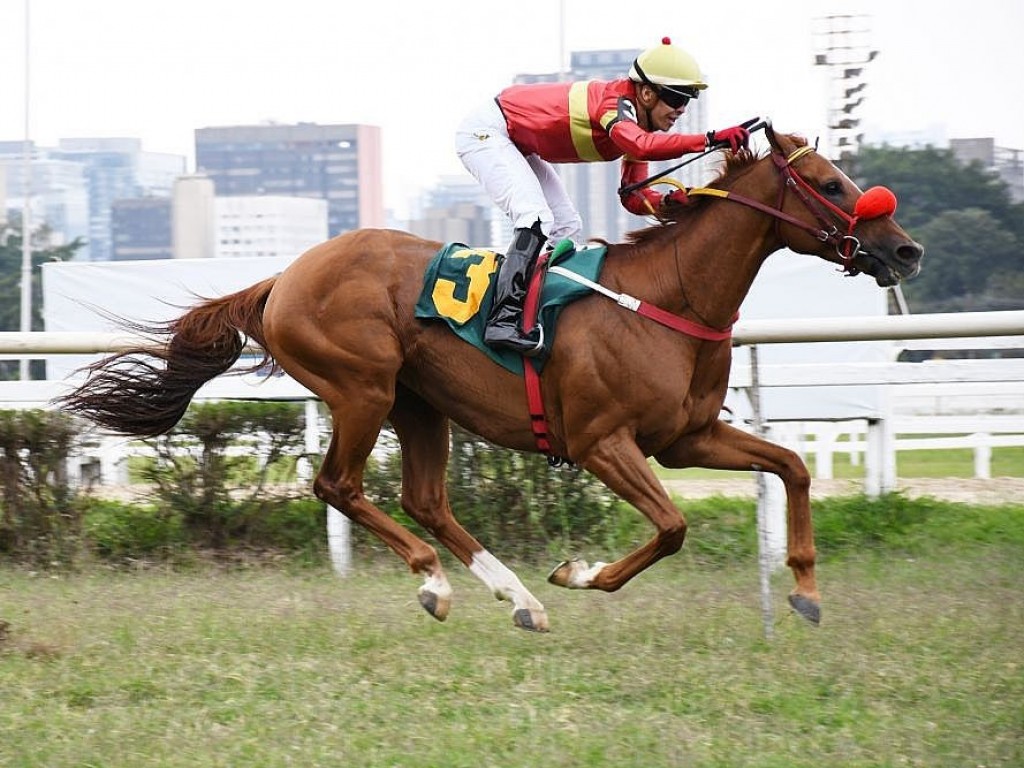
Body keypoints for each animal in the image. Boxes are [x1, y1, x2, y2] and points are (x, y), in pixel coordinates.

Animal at [58, 124, 921, 630]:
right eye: (834, 186)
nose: (905, 250)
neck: (669, 298)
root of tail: (283, 278)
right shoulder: (603, 441)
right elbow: (674, 527)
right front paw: (580, 572)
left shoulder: (688, 436)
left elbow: (792, 466)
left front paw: (805, 590)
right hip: (363, 388)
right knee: (340, 486)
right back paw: (438, 585)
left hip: (418, 402)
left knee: (426, 499)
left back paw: (519, 599)